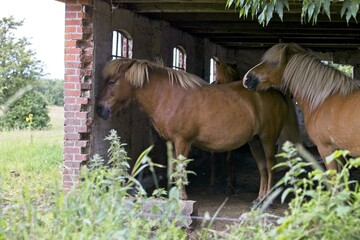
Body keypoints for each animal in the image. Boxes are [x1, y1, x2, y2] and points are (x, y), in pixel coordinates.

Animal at [96, 57, 300, 201]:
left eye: (112, 81)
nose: (99, 109)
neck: (169, 96)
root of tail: (275, 91)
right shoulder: (171, 142)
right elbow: (173, 168)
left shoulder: (182, 141)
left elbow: (181, 168)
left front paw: (182, 196)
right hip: (255, 141)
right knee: (262, 167)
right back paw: (259, 198)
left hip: (267, 139)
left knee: (271, 166)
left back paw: (268, 200)